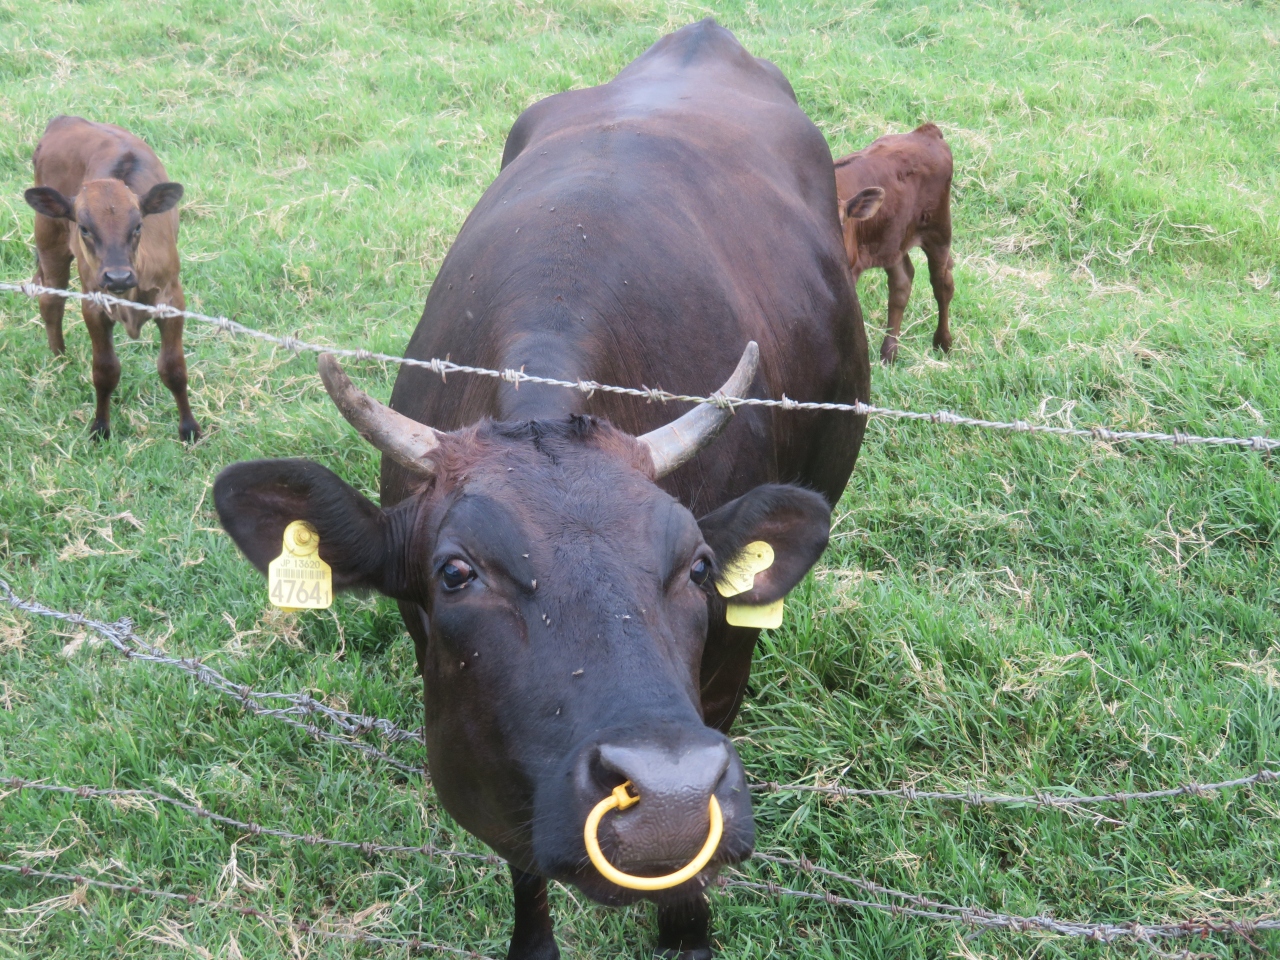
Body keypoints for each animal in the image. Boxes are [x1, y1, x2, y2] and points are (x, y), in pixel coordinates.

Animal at [24, 114, 198, 442]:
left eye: (138, 225)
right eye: (84, 228)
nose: (118, 277)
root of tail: (66, 120)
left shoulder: (172, 299)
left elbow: (174, 369)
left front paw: (190, 429)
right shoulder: (93, 304)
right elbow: (105, 371)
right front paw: (100, 428)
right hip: (49, 237)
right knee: (51, 298)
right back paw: (60, 358)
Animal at [834, 124, 957, 363]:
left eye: (842, 221)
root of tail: (925, 131)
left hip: (938, 230)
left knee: (942, 283)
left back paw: (943, 343)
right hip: (893, 240)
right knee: (902, 282)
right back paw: (889, 352)